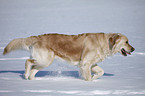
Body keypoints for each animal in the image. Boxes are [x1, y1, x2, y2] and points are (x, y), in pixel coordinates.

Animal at [3, 32, 135, 80]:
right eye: (126, 42)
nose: (133, 49)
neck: (104, 43)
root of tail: (37, 37)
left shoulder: (91, 63)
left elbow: (101, 71)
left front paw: (95, 77)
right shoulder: (85, 63)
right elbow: (88, 77)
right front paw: (89, 82)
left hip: (43, 62)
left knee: (33, 69)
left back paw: (33, 81)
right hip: (45, 60)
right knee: (28, 61)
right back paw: (25, 75)